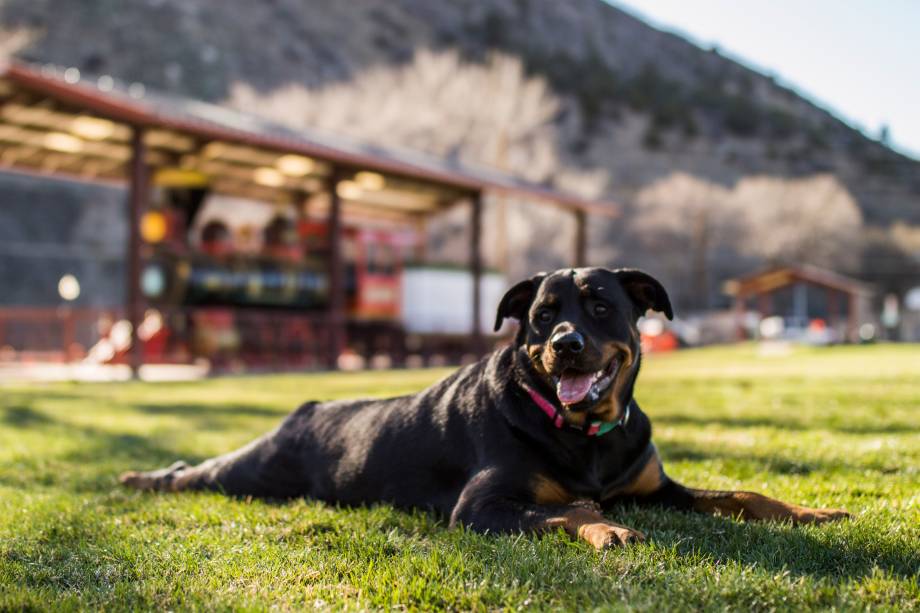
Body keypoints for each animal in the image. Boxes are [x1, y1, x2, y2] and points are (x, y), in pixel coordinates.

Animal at [122, 266, 848, 548]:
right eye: (542, 315)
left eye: (601, 305)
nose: (565, 344)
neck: (584, 434)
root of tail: (308, 407)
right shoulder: (481, 506)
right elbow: (566, 509)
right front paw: (602, 526)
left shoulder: (653, 485)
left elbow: (742, 493)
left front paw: (810, 510)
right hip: (250, 472)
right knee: (194, 473)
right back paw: (140, 476)